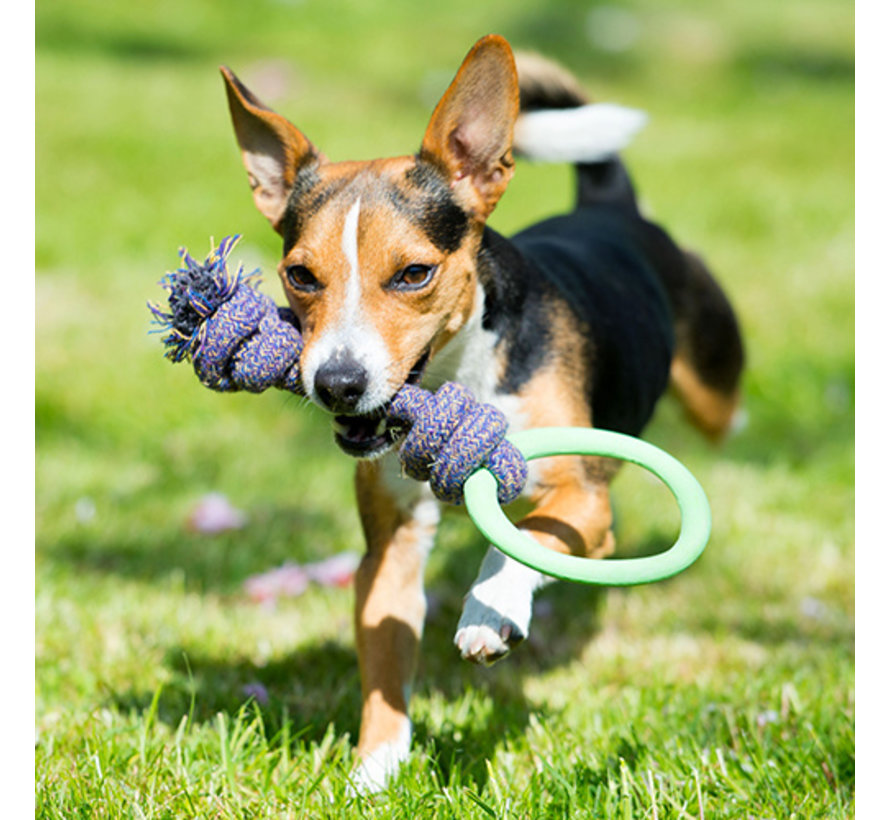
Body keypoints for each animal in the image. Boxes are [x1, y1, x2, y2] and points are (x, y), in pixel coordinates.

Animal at [217, 35, 744, 792]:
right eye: (300, 275)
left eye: (414, 274)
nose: (337, 383)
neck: (459, 379)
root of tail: (609, 205)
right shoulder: (392, 543)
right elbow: (385, 656)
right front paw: (375, 770)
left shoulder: (584, 504)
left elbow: (523, 538)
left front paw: (490, 612)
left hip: (712, 391)